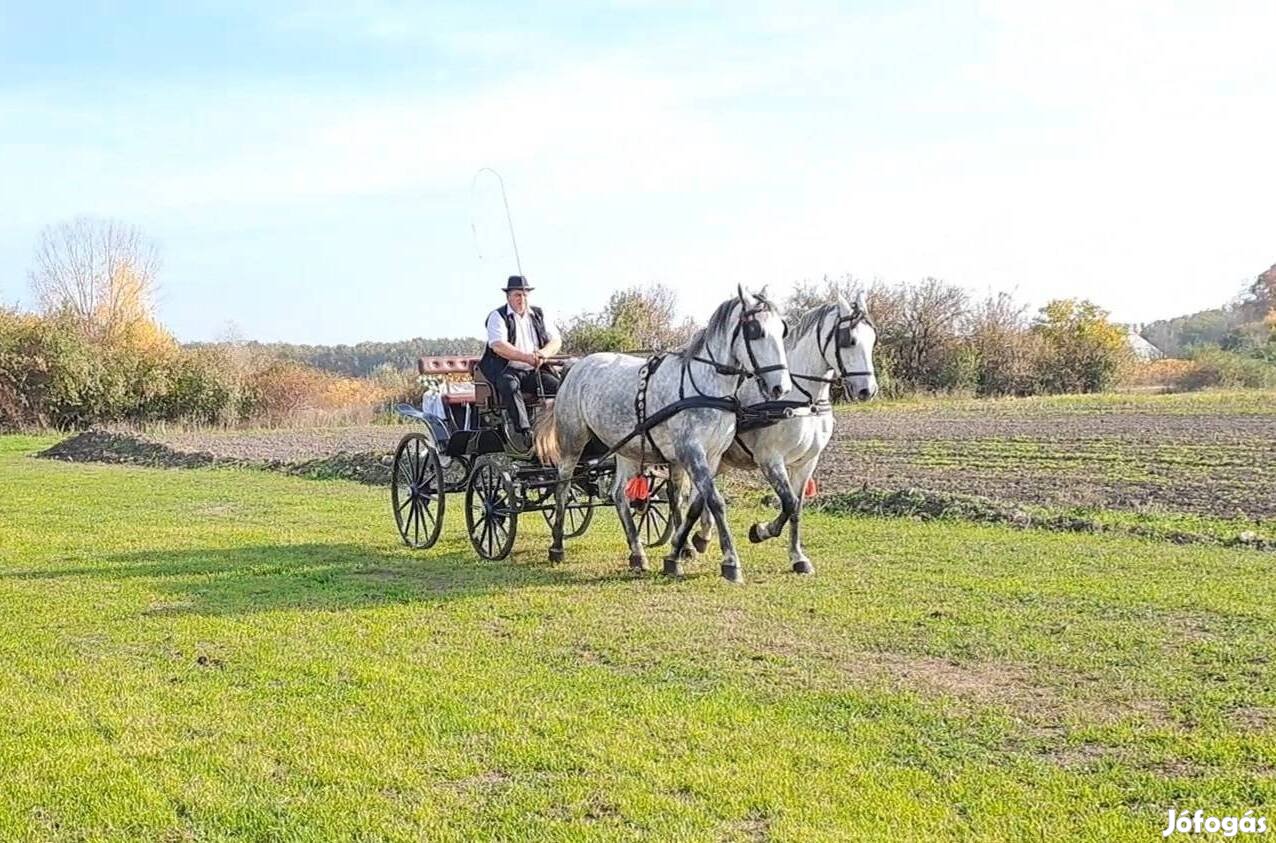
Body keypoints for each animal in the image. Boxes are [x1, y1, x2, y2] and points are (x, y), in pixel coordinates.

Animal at [528, 285, 786, 581]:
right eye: (755, 330)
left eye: (783, 329)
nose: (780, 387)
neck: (704, 387)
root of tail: (574, 366)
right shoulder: (691, 451)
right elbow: (715, 501)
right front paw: (730, 562)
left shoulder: (710, 456)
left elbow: (693, 503)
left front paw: (681, 550)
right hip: (572, 442)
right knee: (562, 488)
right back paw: (557, 546)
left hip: (625, 447)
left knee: (618, 494)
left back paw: (637, 553)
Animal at [689, 292, 877, 576]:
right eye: (850, 340)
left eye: (873, 339)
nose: (868, 390)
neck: (802, 402)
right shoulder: (770, 460)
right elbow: (787, 502)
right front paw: (760, 531)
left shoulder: (807, 463)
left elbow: (797, 508)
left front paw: (798, 557)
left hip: (718, 460)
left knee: (699, 496)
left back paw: (701, 538)